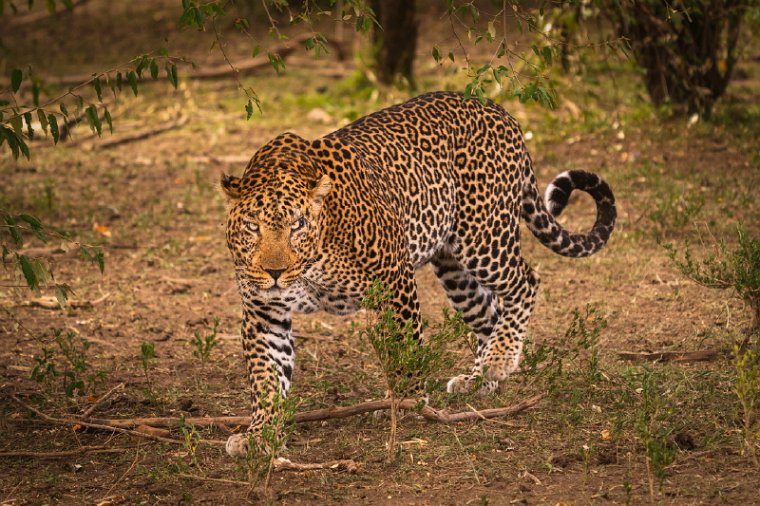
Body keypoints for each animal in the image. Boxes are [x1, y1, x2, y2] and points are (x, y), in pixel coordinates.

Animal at [218, 91, 612, 458]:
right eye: (252, 226)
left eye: (298, 224)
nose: (274, 271)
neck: (312, 259)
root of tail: (497, 108)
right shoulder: (264, 313)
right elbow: (267, 378)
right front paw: (260, 434)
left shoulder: (394, 281)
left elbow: (403, 346)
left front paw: (406, 403)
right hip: (453, 267)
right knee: (489, 314)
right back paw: (482, 377)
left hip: (483, 237)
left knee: (525, 281)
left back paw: (499, 358)